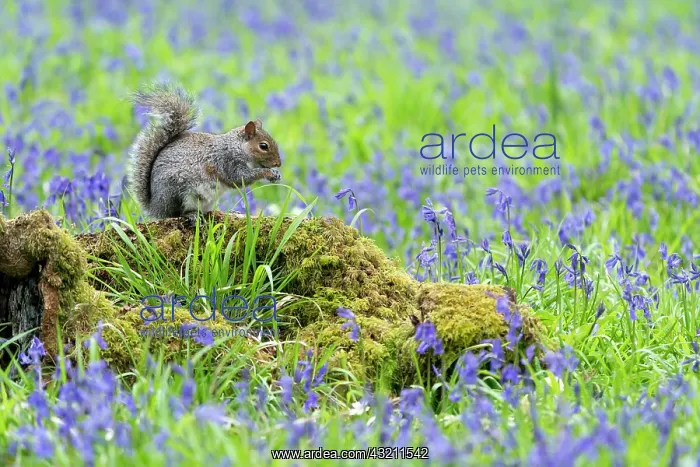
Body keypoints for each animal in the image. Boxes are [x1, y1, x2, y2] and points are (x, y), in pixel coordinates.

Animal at [127, 82, 282, 221]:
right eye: (263, 146)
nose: (278, 164)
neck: (237, 147)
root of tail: (155, 207)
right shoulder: (228, 161)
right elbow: (241, 178)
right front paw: (268, 172)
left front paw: (275, 174)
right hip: (177, 192)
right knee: (175, 213)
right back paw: (191, 215)